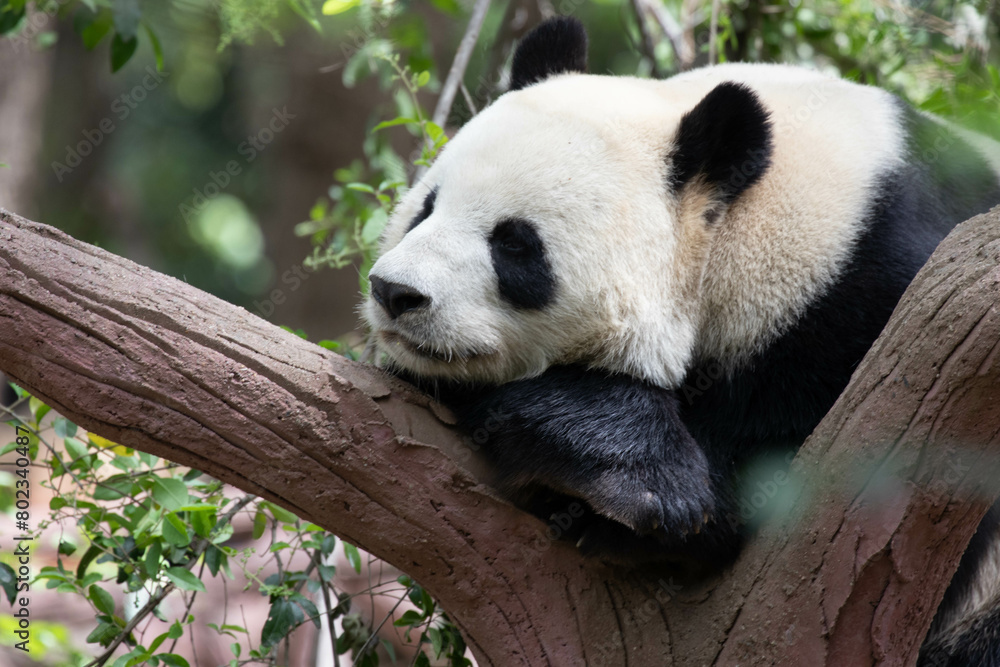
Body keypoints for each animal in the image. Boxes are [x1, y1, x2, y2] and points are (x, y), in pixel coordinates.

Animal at [362, 17, 1000, 666]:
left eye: (515, 244)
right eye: (426, 208)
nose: (395, 292)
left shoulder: (873, 294)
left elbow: (798, 483)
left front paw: (638, 485)